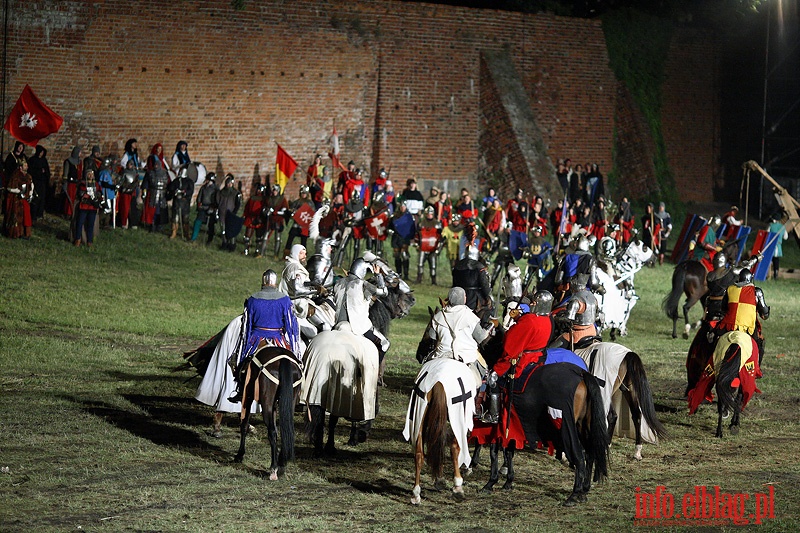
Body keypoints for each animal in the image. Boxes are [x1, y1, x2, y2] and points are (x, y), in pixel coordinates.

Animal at [236, 344, 304, 478]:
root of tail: (284, 359)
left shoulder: (248, 397)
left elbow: (244, 424)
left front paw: (240, 455)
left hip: (266, 403)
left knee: (272, 431)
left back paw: (273, 468)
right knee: (286, 429)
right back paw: (281, 465)